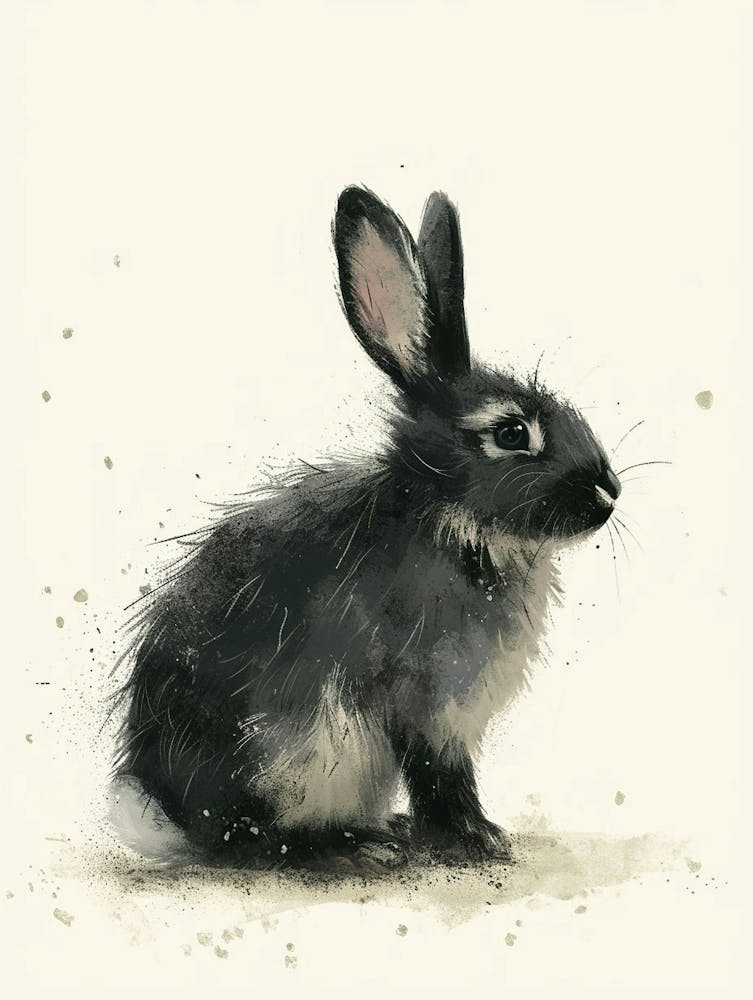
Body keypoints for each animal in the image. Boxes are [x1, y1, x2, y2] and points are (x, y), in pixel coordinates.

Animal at [114, 186, 622, 870]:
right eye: (512, 433)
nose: (609, 494)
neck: (449, 519)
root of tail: (168, 814)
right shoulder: (424, 703)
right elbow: (440, 777)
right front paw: (478, 841)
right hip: (297, 755)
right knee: (259, 840)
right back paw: (358, 846)